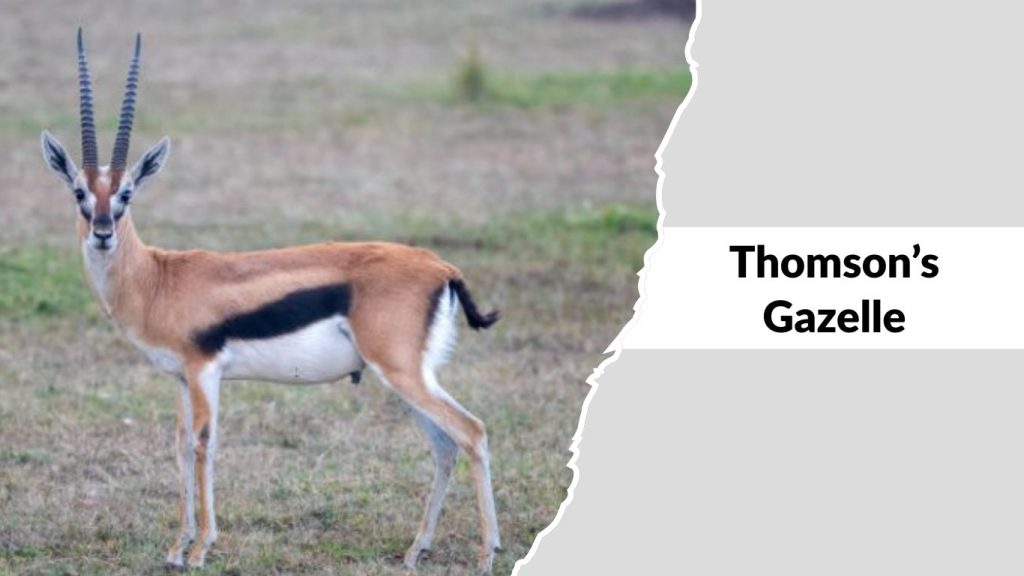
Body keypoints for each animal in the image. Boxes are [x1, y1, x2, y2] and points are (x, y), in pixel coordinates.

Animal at [40, 29, 502, 573]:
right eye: (79, 192)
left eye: (127, 193)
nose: (103, 232)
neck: (157, 279)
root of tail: (441, 268)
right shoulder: (180, 378)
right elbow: (180, 446)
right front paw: (176, 548)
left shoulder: (204, 372)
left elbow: (204, 444)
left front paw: (201, 548)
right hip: (404, 379)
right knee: (445, 445)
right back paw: (416, 550)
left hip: (402, 373)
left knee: (472, 431)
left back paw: (486, 553)